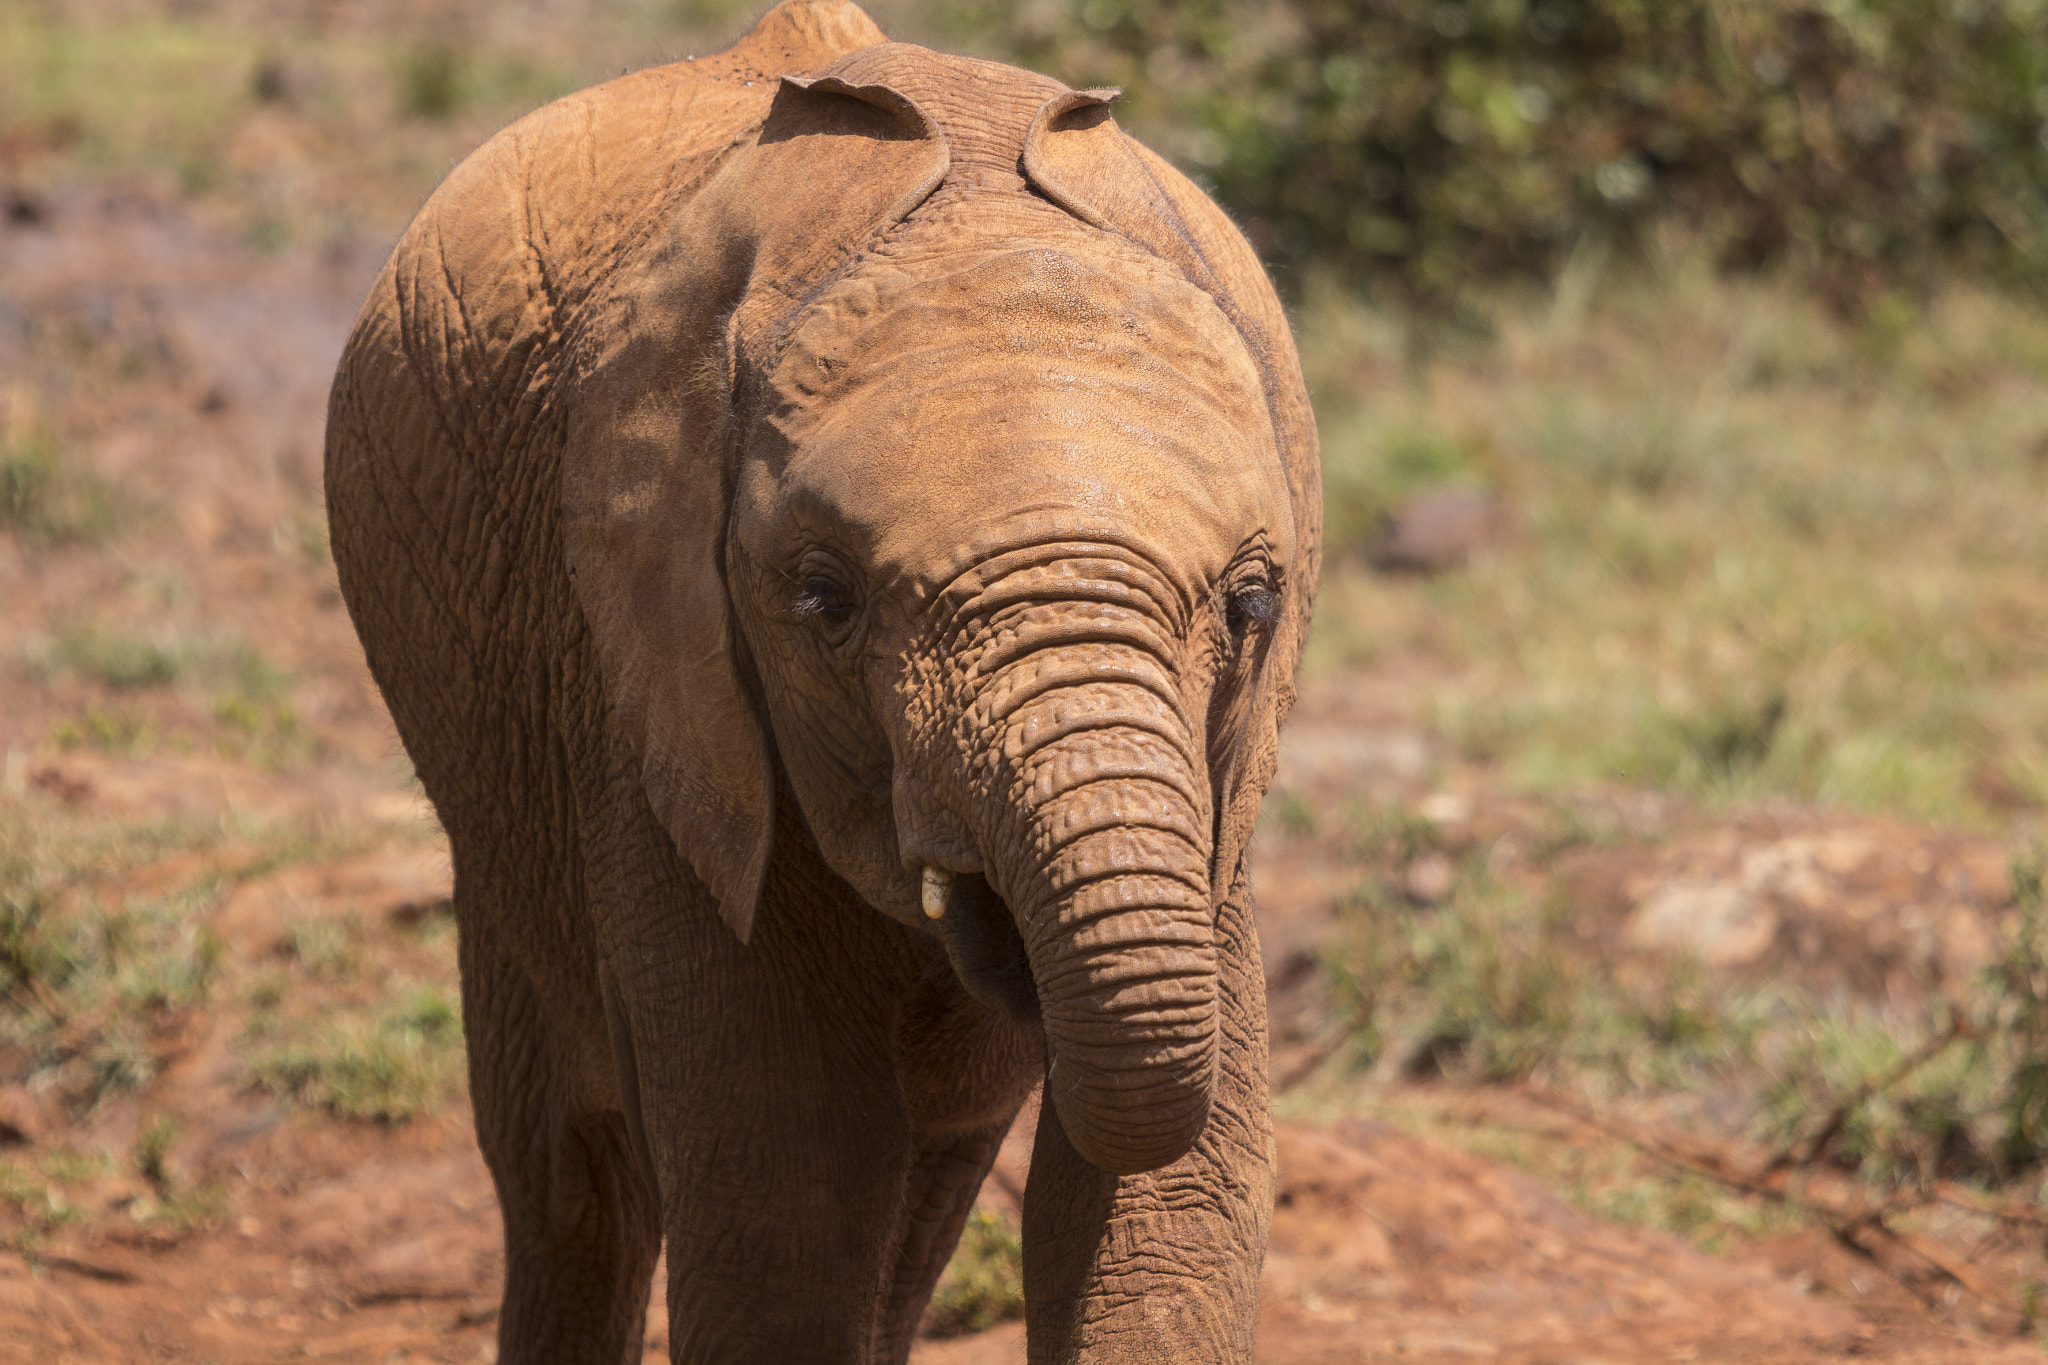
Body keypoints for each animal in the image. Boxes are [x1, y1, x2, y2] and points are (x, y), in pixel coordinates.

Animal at [319, 2, 1310, 1358]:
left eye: (1253, 604)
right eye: (824, 602)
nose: (990, 929)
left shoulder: (1215, 812)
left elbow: (1168, 1210)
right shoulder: (652, 703)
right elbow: (782, 1205)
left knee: (924, 1186)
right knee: (576, 1180)